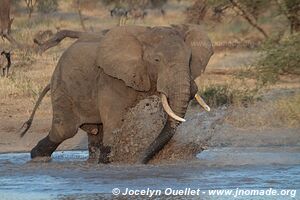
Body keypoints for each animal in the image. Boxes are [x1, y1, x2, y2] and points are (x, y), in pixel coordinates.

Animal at [20, 24, 213, 163]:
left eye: (189, 60)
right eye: (157, 60)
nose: (139, 160)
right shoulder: (111, 78)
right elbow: (115, 121)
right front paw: (111, 159)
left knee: (94, 132)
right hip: (63, 86)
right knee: (64, 130)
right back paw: (38, 156)